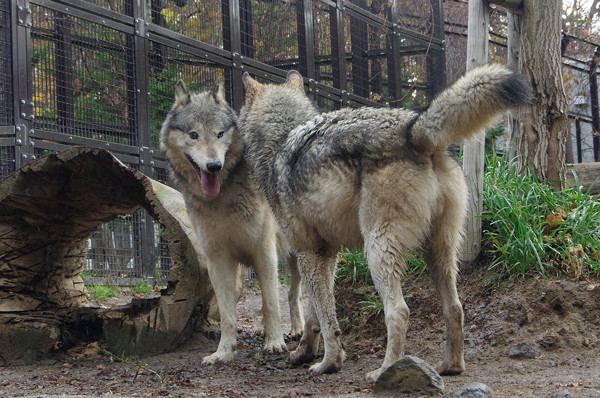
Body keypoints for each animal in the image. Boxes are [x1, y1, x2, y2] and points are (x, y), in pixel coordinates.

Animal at [161, 82, 304, 366]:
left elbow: (271, 303)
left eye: (219, 134)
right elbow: (228, 315)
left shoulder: (264, 251)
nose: (214, 166)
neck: (223, 197)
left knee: (294, 294)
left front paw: (274, 343)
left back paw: (297, 330)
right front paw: (224, 352)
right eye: (194, 135)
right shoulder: (217, 259)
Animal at [237, 64, 532, 380]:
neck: (281, 140)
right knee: (455, 307)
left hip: (377, 251)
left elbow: (326, 318)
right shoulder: (326, 255)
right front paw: (303, 353)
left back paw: (385, 371)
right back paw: (450, 366)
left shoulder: (308, 253)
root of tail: (412, 130)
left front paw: (329, 363)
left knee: (399, 312)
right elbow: (315, 315)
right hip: (438, 252)